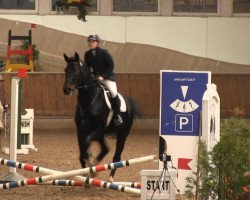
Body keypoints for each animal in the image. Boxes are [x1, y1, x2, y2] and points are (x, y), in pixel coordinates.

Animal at [62, 52, 137, 180]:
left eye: (76, 71)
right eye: (66, 70)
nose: (66, 89)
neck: (89, 100)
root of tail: (129, 102)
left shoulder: (98, 129)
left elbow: (86, 143)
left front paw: (90, 161)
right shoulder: (81, 130)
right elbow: (82, 151)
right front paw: (86, 171)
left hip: (122, 133)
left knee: (116, 156)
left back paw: (110, 178)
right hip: (102, 134)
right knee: (105, 149)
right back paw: (95, 170)